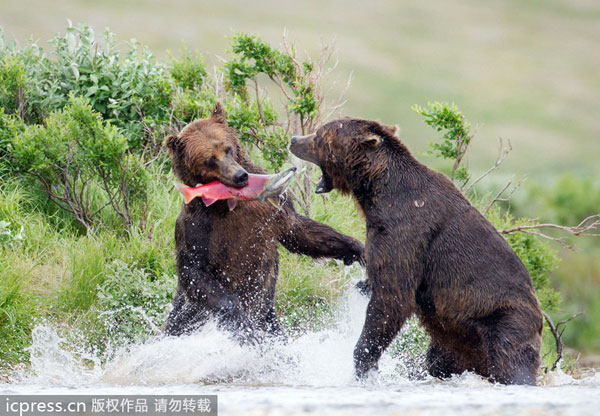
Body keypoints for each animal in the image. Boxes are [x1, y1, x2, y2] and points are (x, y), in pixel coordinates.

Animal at [162, 102, 364, 342]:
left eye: (227, 148)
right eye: (210, 159)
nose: (240, 175)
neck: (228, 201)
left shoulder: (271, 208)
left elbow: (298, 231)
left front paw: (357, 249)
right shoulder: (196, 224)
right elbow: (193, 269)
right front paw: (240, 319)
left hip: (268, 316)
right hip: (188, 313)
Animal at [290, 117, 544, 384]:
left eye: (319, 134)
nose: (294, 140)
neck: (377, 194)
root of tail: (540, 320)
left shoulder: (406, 231)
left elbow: (393, 298)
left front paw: (364, 362)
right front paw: (360, 284)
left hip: (503, 319)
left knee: (511, 361)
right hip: (458, 337)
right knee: (440, 360)